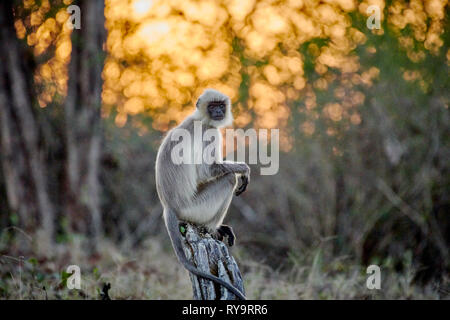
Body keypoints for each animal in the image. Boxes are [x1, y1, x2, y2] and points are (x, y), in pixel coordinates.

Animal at [156, 88, 250, 300]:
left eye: (220, 105)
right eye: (212, 106)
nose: (218, 112)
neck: (201, 119)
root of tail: (168, 206)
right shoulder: (209, 132)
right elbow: (208, 171)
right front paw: (244, 170)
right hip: (194, 208)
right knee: (228, 179)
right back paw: (212, 229)